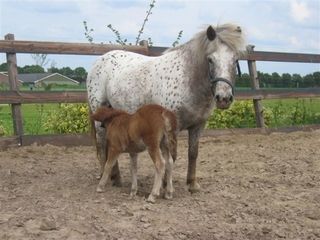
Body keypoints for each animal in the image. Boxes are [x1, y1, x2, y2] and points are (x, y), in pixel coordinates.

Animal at [87, 23, 245, 192]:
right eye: (210, 59)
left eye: (235, 59)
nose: (224, 98)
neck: (188, 79)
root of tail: (99, 60)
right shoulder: (172, 129)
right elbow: (170, 157)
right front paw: (164, 185)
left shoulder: (198, 126)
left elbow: (193, 153)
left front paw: (192, 184)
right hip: (99, 113)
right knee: (102, 143)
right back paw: (104, 176)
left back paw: (116, 178)